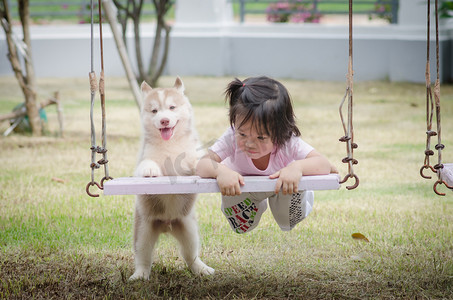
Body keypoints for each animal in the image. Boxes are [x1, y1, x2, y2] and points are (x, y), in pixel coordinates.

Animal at [129, 76, 214, 280]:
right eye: (154, 111)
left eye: (172, 107)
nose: (164, 120)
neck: (170, 143)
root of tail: (166, 225)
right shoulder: (144, 156)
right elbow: (148, 163)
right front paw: (150, 169)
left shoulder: (191, 157)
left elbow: (196, 161)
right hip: (143, 230)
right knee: (143, 256)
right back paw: (140, 275)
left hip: (189, 229)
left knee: (190, 254)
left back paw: (201, 269)